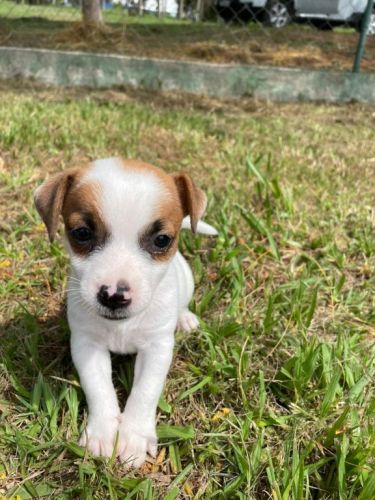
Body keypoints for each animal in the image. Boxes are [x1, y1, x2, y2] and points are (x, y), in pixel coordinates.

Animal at [36, 157, 217, 468]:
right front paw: (103, 433)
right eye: (81, 233)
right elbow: (99, 388)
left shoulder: (157, 348)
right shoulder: (87, 344)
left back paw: (185, 318)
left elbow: (145, 392)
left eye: (162, 240)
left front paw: (134, 436)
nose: (114, 296)